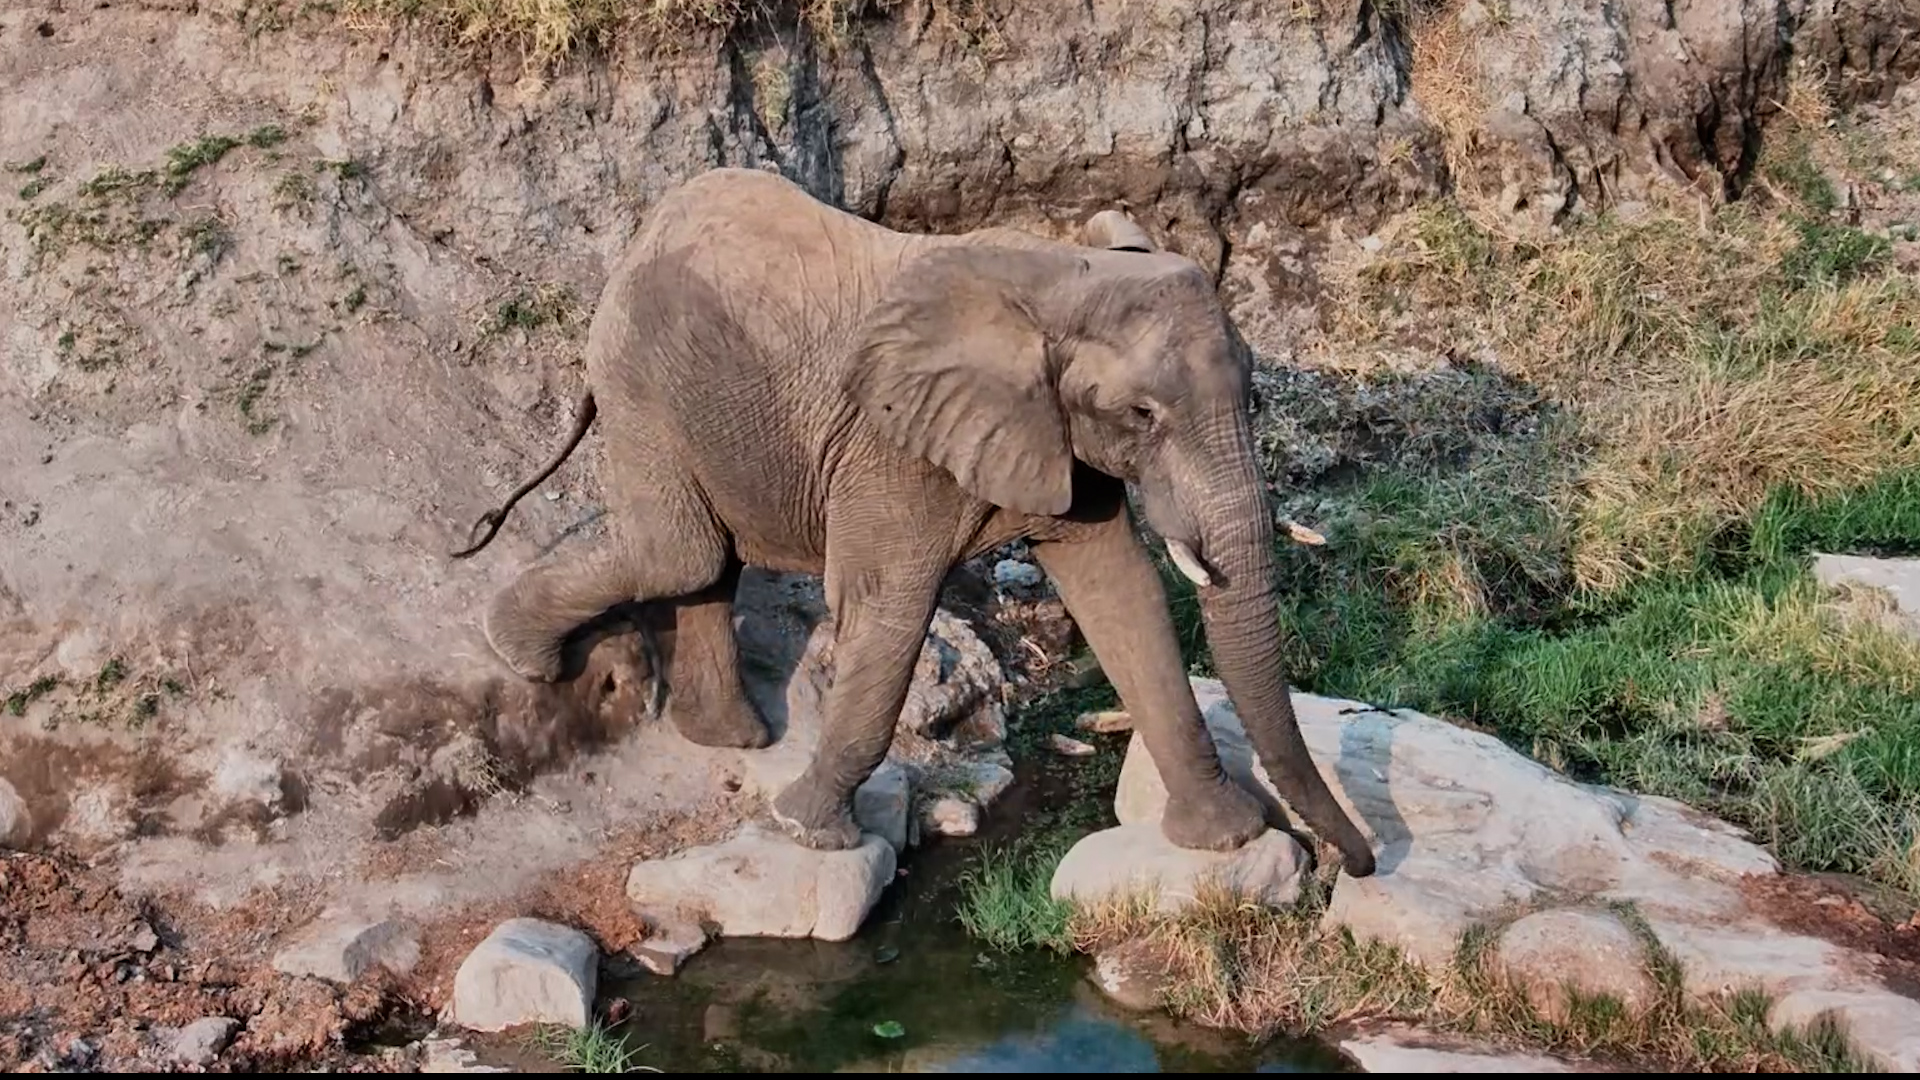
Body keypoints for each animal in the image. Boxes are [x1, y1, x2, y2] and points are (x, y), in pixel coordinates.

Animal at [452, 166, 1375, 877]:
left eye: (1252, 397)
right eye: (1142, 415)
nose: (1357, 863)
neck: (1059, 274)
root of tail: (642, 235)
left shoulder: (1056, 440)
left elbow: (1123, 594)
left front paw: (1223, 837)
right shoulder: (894, 444)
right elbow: (890, 608)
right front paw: (809, 833)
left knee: (707, 559)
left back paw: (731, 739)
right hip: (640, 378)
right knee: (679, 553)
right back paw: (520, 651)